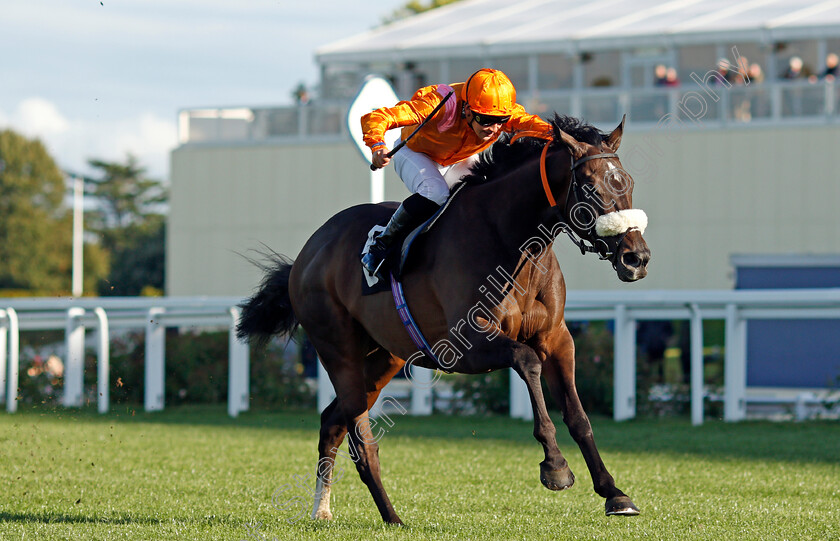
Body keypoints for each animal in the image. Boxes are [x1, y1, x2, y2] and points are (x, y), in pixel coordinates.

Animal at [236, 114, 648, 524]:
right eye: (590, 187)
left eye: (628, 183)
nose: (636, 258)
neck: (509, 238)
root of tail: (307, 254)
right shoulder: (463, 346)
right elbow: (527, 360)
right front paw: (555, 466)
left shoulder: (556, 338)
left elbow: (578, 416)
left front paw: (615, 493)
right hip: (339, 353)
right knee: (362, 442)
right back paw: (392, 518)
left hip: (383, 360)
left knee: (332, 422)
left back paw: (322, 509)